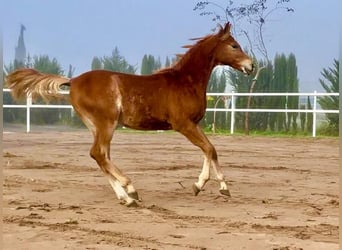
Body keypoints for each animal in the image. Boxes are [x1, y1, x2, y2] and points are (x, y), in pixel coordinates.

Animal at [4, 23, 251, 207]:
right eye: (234, 45)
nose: (251, 66)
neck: (185, 81)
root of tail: (73, 81)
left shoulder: (194, 124)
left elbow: (212, 149)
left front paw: (222, 187)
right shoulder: (184, 124)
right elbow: (208, 149)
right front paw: (201, 185)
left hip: (96, 126)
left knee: (101, 156)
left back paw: (125, 197)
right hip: (106, 123)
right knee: (99, 154)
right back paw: (131, 190)